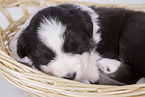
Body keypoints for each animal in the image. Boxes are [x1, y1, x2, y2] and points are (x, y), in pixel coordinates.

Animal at [8, 3, 145, 84]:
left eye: (75, 47)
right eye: (45, 57)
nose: (70, 76)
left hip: (132, 33)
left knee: (133, 74)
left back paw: (106, 65)